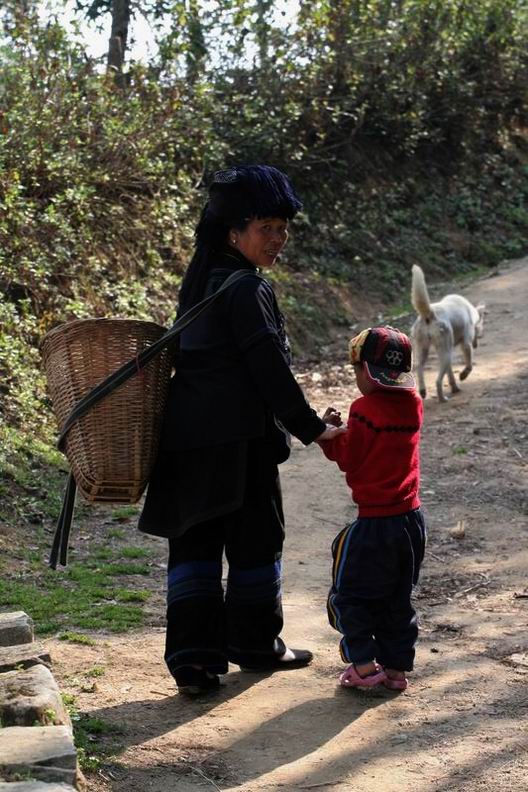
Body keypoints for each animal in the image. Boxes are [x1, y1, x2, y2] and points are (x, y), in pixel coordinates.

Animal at [410, 264, 484, 402]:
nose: (476, 345)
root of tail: (429, 314)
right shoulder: (466, 344)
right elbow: (469, 365)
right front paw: (463, 375)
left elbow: (450, 374)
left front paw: (454, 387)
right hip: (446, 354)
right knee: (438, 381)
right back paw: (442, 398)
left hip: (424, 349)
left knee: (419, 367)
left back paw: (422, 391)